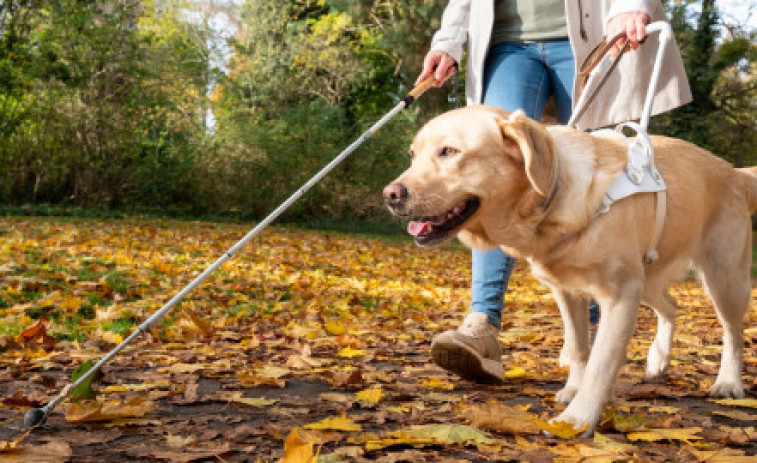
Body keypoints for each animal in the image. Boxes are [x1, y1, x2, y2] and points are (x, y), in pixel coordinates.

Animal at [384, 105, 756, 436]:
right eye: (413, 154)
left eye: (449, 151)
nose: (390, 194)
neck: (556, 196)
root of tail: (735, 172)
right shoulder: (567, 291)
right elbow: (579, 350)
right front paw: (574, 390)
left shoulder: (621, 295)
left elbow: (601, 363)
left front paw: (578, 418)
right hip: (649, 277)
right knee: (672, 306)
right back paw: (658, 358)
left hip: (722, 279)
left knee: (733, 333)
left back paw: (728, 381)